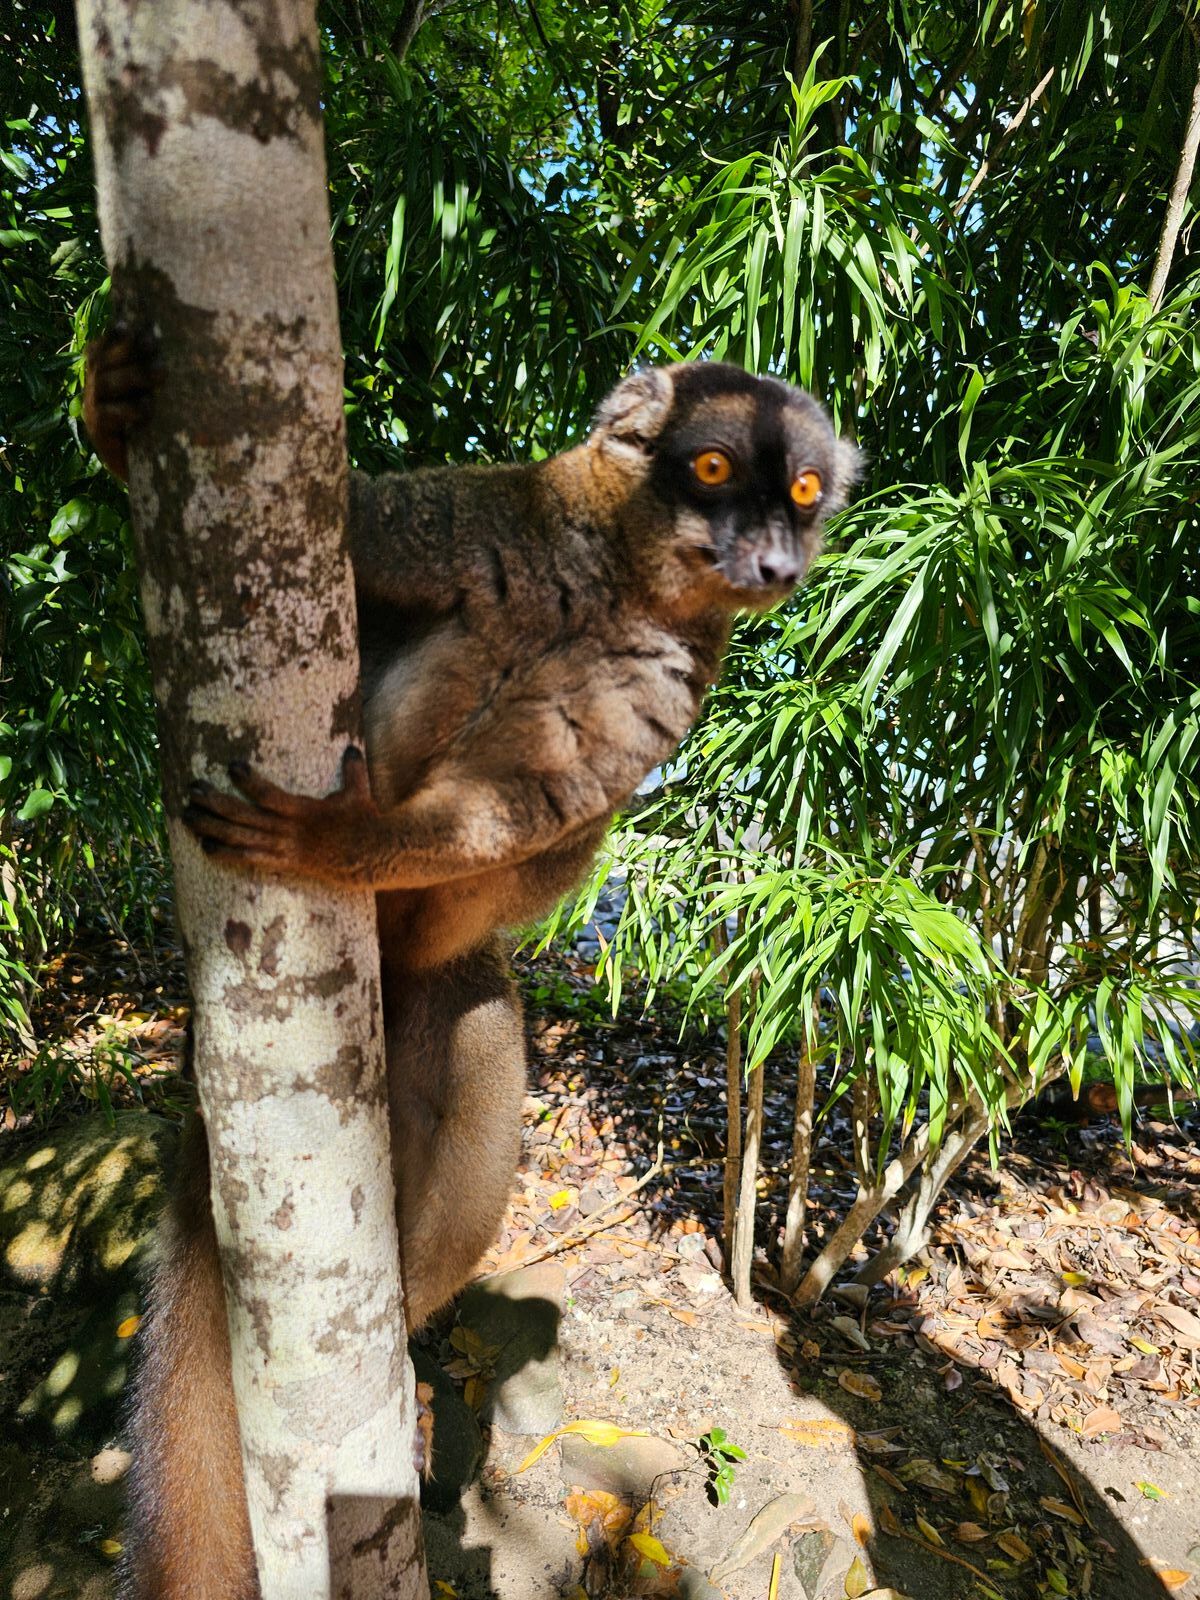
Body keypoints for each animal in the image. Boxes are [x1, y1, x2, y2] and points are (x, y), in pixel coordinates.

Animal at [84, 330, 858, 1598]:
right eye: (711, 468)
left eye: (801, 492)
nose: (778, 560)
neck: (622, 586)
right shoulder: (493, 516)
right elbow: (355, 546)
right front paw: (108, 405)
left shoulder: (674, 680)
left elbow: (538, 798)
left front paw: (342, 845)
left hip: (458, 987)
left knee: (487, 1072)